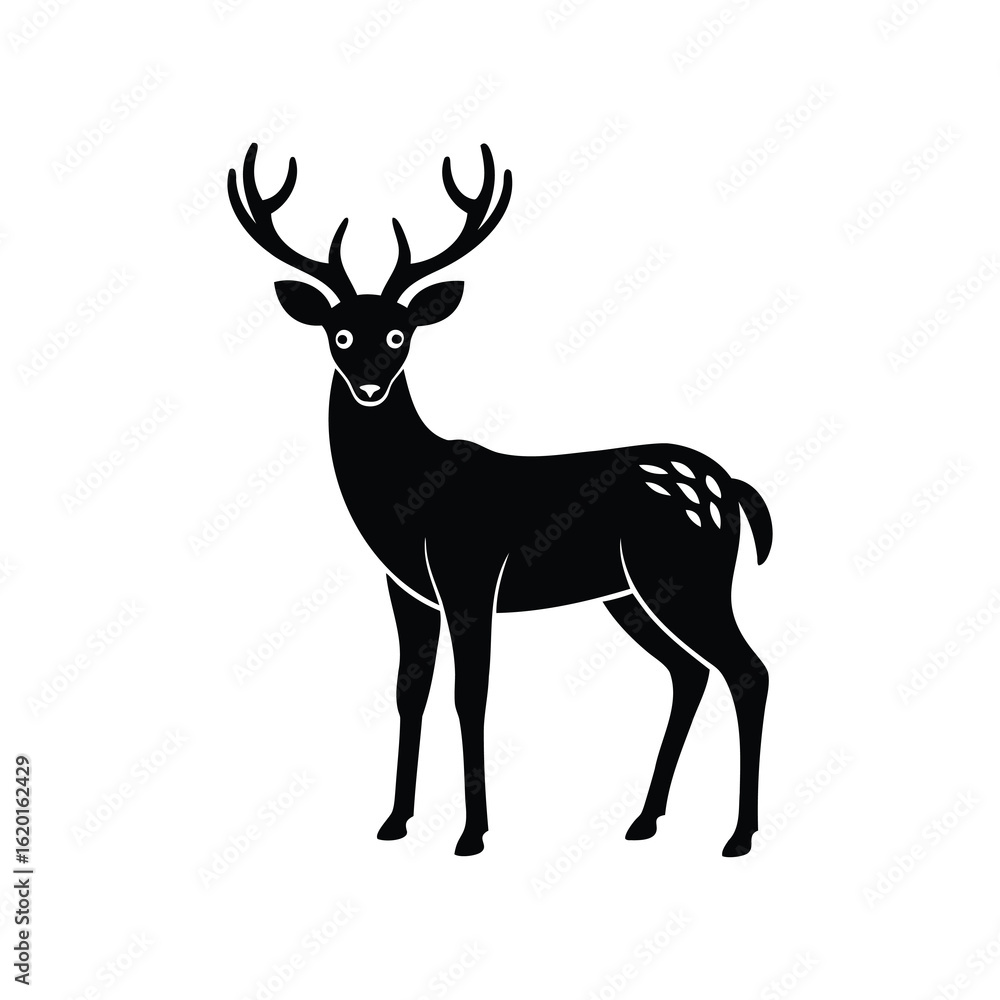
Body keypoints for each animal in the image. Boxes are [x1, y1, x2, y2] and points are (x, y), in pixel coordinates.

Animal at [228, 142, 774, 857]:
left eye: (400, 334)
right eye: (339, 334)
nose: (370, 387)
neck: (408, 494)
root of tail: (732, 487)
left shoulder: (470, 570)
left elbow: (471, 694)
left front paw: (472, 834)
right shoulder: (404, 585)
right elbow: (409, 690)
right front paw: (394, 822)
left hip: (688, 572)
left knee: (747, 671)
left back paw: (738, 835)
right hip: (628, 592)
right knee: (690, 675)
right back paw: (645, 820)